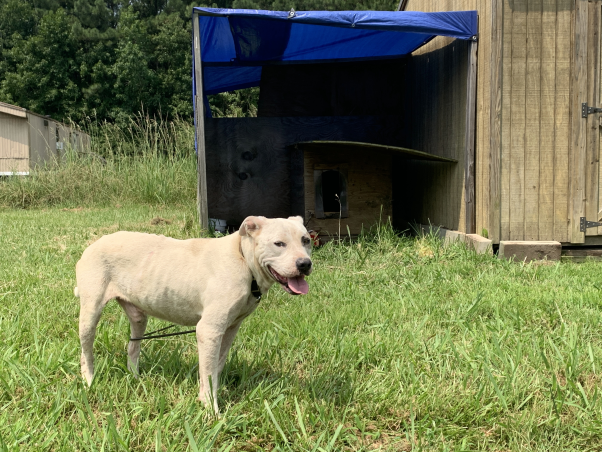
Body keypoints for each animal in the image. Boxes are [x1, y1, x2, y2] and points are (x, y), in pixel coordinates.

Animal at [72, 217, 312, 412]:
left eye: (306, 240)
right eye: (279, 244)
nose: (305, 264)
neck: (244, 260)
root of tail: (93, 245)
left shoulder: (230, 328)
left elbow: (216, 366)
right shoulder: (209, 330)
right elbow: (208, 371)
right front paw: (211, 410)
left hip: (138, 316)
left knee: (132, 346)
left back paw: (135, 377)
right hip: (91, 312)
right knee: (86, 353)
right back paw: (89, 381)